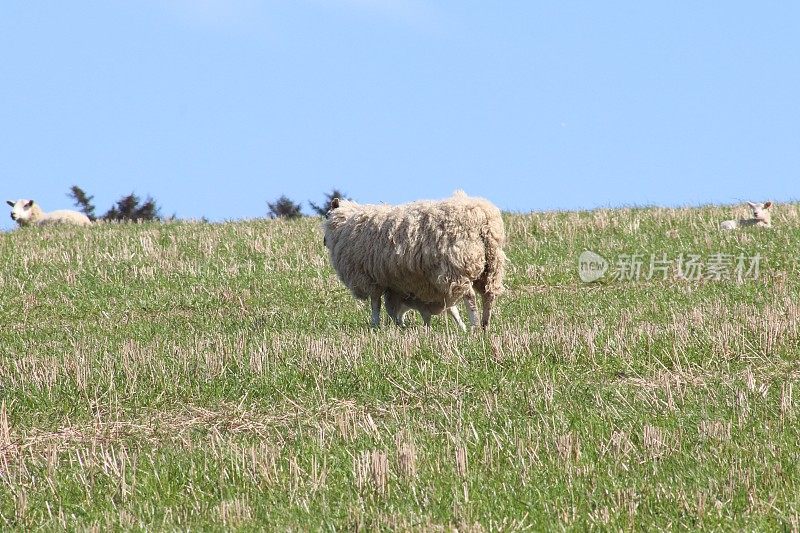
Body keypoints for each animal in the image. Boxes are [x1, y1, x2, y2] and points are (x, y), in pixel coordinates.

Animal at [320, 187, 504, 328]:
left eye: (327, 215)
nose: (323, 241)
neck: (344, 224)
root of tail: (483, 217)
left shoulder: (370, 278)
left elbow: (375, 304)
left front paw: (375, 325)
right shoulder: (389, 284)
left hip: (457, 265)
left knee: (470, 297)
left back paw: (474, 326)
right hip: (491, 265)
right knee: (488, 295)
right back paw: (485, 325)